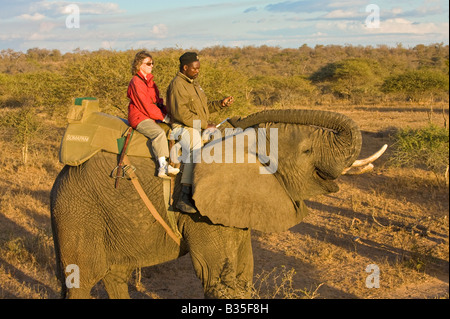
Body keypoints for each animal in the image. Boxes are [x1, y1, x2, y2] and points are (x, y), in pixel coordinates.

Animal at [51, 109, 370, 300]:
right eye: (306, 151)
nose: (237, 118)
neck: (244, 143)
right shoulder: (200, 215)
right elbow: (220, 281)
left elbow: (243, 274)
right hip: (78, 211)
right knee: (81, 280)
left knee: (116, 275)